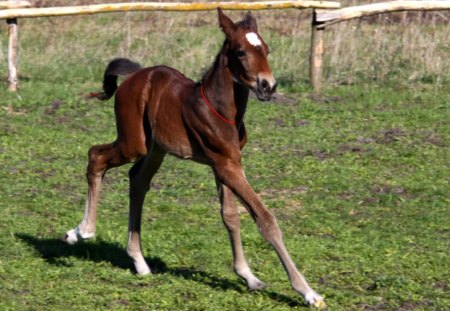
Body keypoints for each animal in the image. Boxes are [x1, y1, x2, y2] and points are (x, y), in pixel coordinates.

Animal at [64, 8, 324, 308]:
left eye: (266, 50)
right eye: (240, 52)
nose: (268, 86)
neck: (220, 109)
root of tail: (135, 75)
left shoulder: (227, 164)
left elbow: (230, 215)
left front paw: (248, 276)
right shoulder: (226, 165)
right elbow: (265, 219)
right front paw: (308, 292)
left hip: (156, 148)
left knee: (138, 181)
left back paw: (139, 261)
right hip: (134, 143)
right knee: (96, 156)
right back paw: (81, 231)